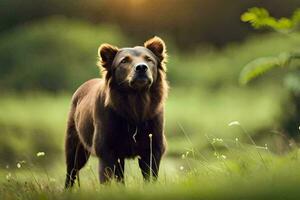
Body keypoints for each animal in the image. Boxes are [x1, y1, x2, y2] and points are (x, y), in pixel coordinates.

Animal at [64, 36, 169, 188]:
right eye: (124, 61)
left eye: (149, 59)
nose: (141, 67)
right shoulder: (107, 148)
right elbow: (106, 176)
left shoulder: (153, 145)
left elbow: (150, 174)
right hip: (76, 139)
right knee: (71, 169)